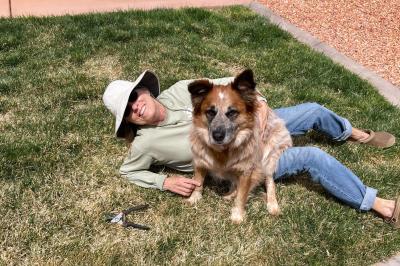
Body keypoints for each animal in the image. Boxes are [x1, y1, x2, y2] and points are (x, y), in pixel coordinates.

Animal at [186, 69, 292, 223]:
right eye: (211, 112)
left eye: (232, 112)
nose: (217, 136)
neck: (223, 151)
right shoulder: (200, 161)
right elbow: (198, 182)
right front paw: (194, 198)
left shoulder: (246, 170)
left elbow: (242, 195)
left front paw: (237, 215)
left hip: (267, 157)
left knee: (269, 180)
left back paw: (272, 205)